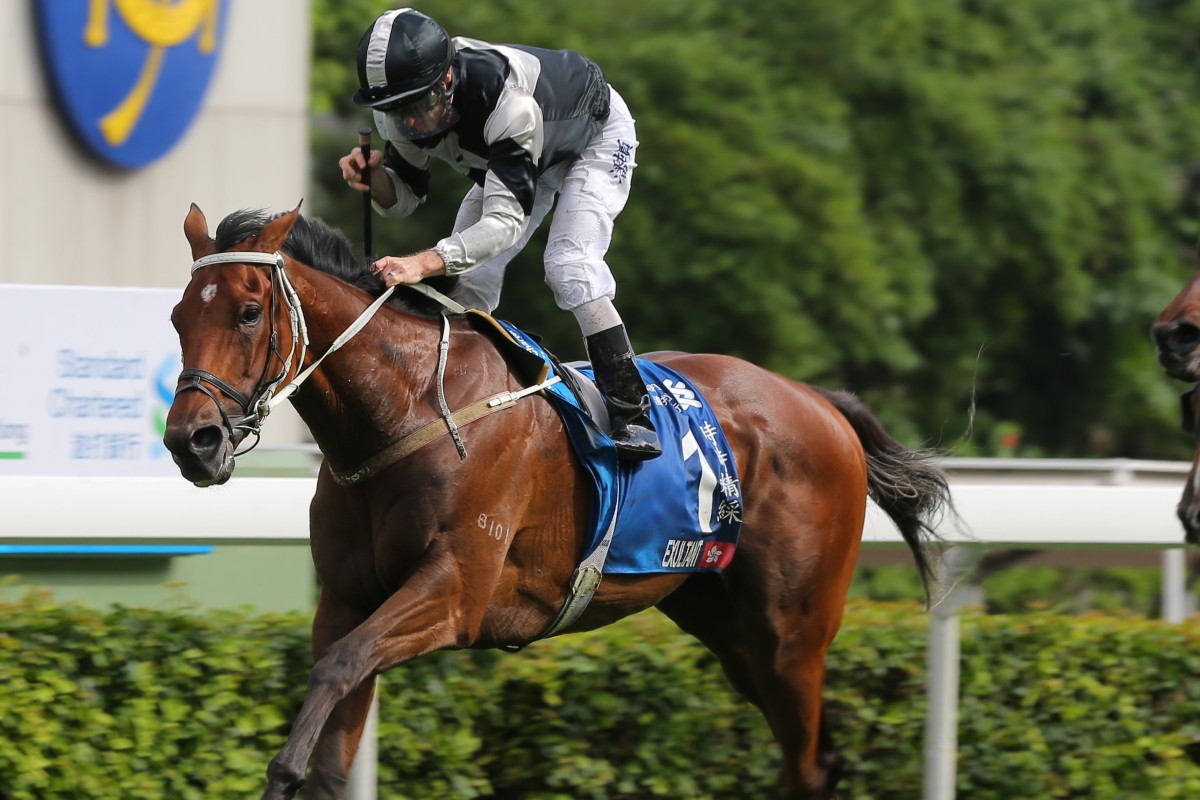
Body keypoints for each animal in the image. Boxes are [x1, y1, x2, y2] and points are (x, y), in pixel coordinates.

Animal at [164, 203, 950, 796]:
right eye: (177, 317)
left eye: (248, 312)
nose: (190, 442)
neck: (405, 410)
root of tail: (818, 401)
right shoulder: (349, 595)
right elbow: (335, 707)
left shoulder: (455, 590)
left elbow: (336, 671)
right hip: (726, 624)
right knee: (809, 756)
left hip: (792, 633)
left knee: (809, 765)